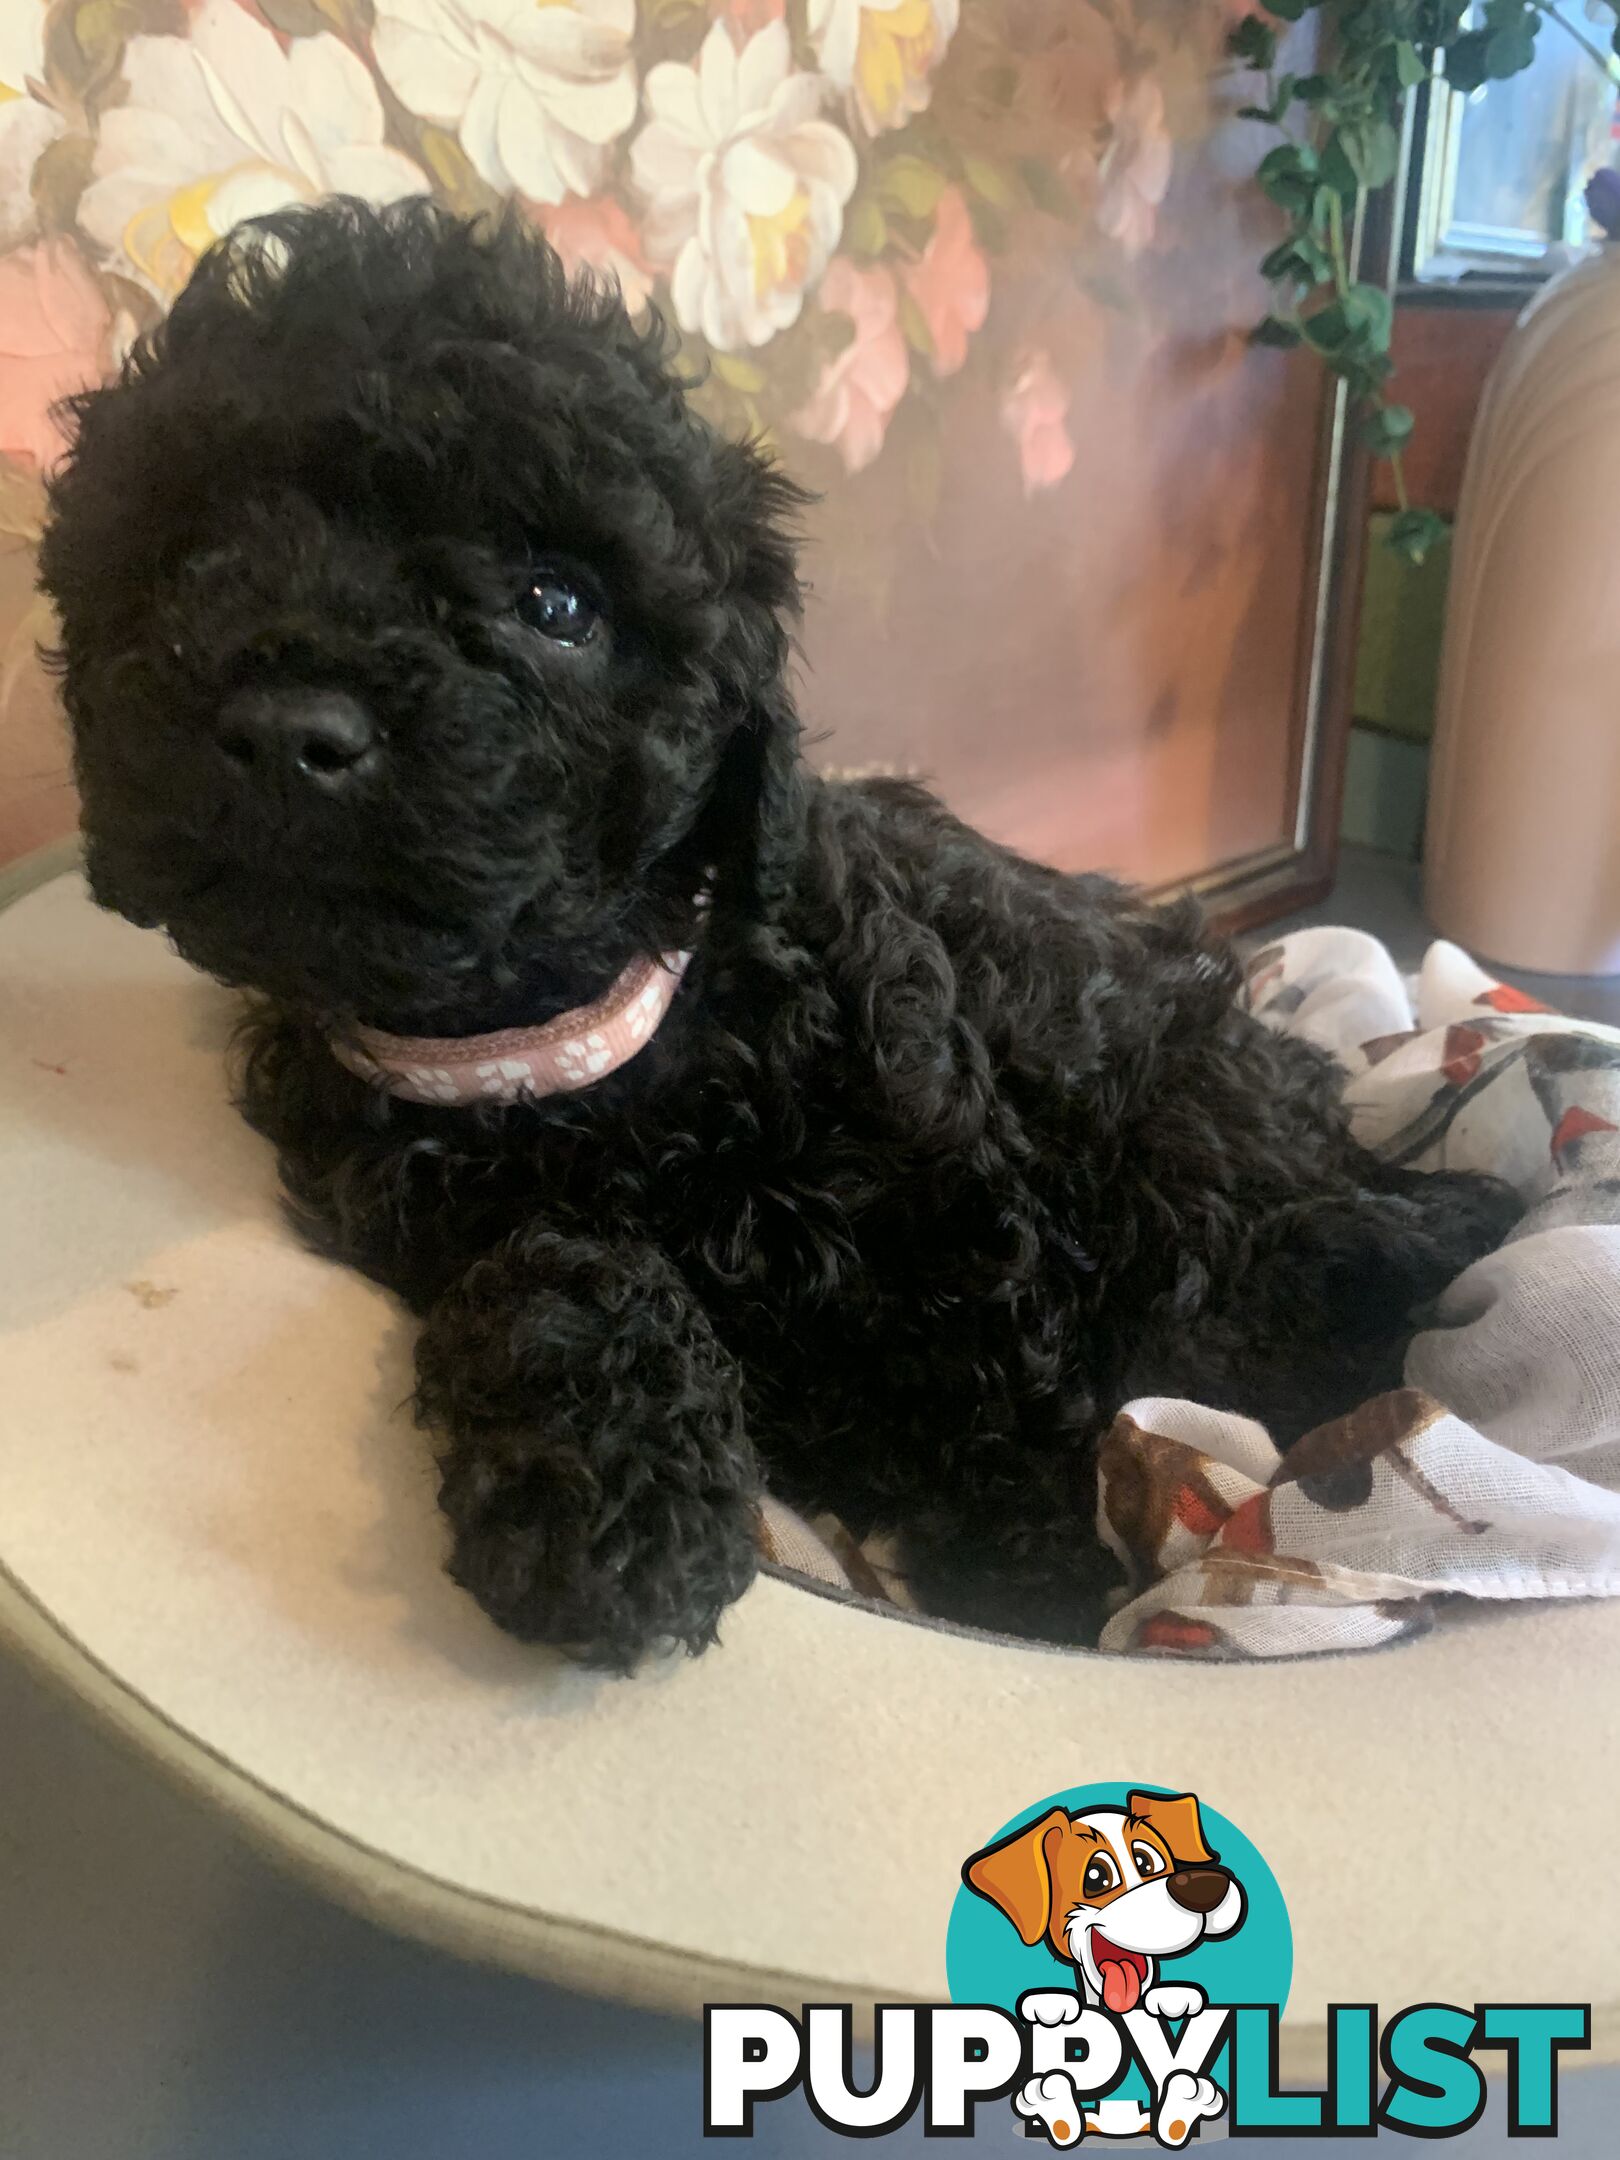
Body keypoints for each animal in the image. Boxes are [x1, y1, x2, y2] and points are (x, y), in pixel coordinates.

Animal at [44, 194, 1529, 1658]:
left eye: (559, 606)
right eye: (190, 559)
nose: (289, 728)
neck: (596, 1053)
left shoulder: (975, 1218)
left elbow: (1007, 1405)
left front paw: (1037, 1594)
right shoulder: (437, 1204)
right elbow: (551, 1265)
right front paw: (615, 1495)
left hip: (1177, 1117)